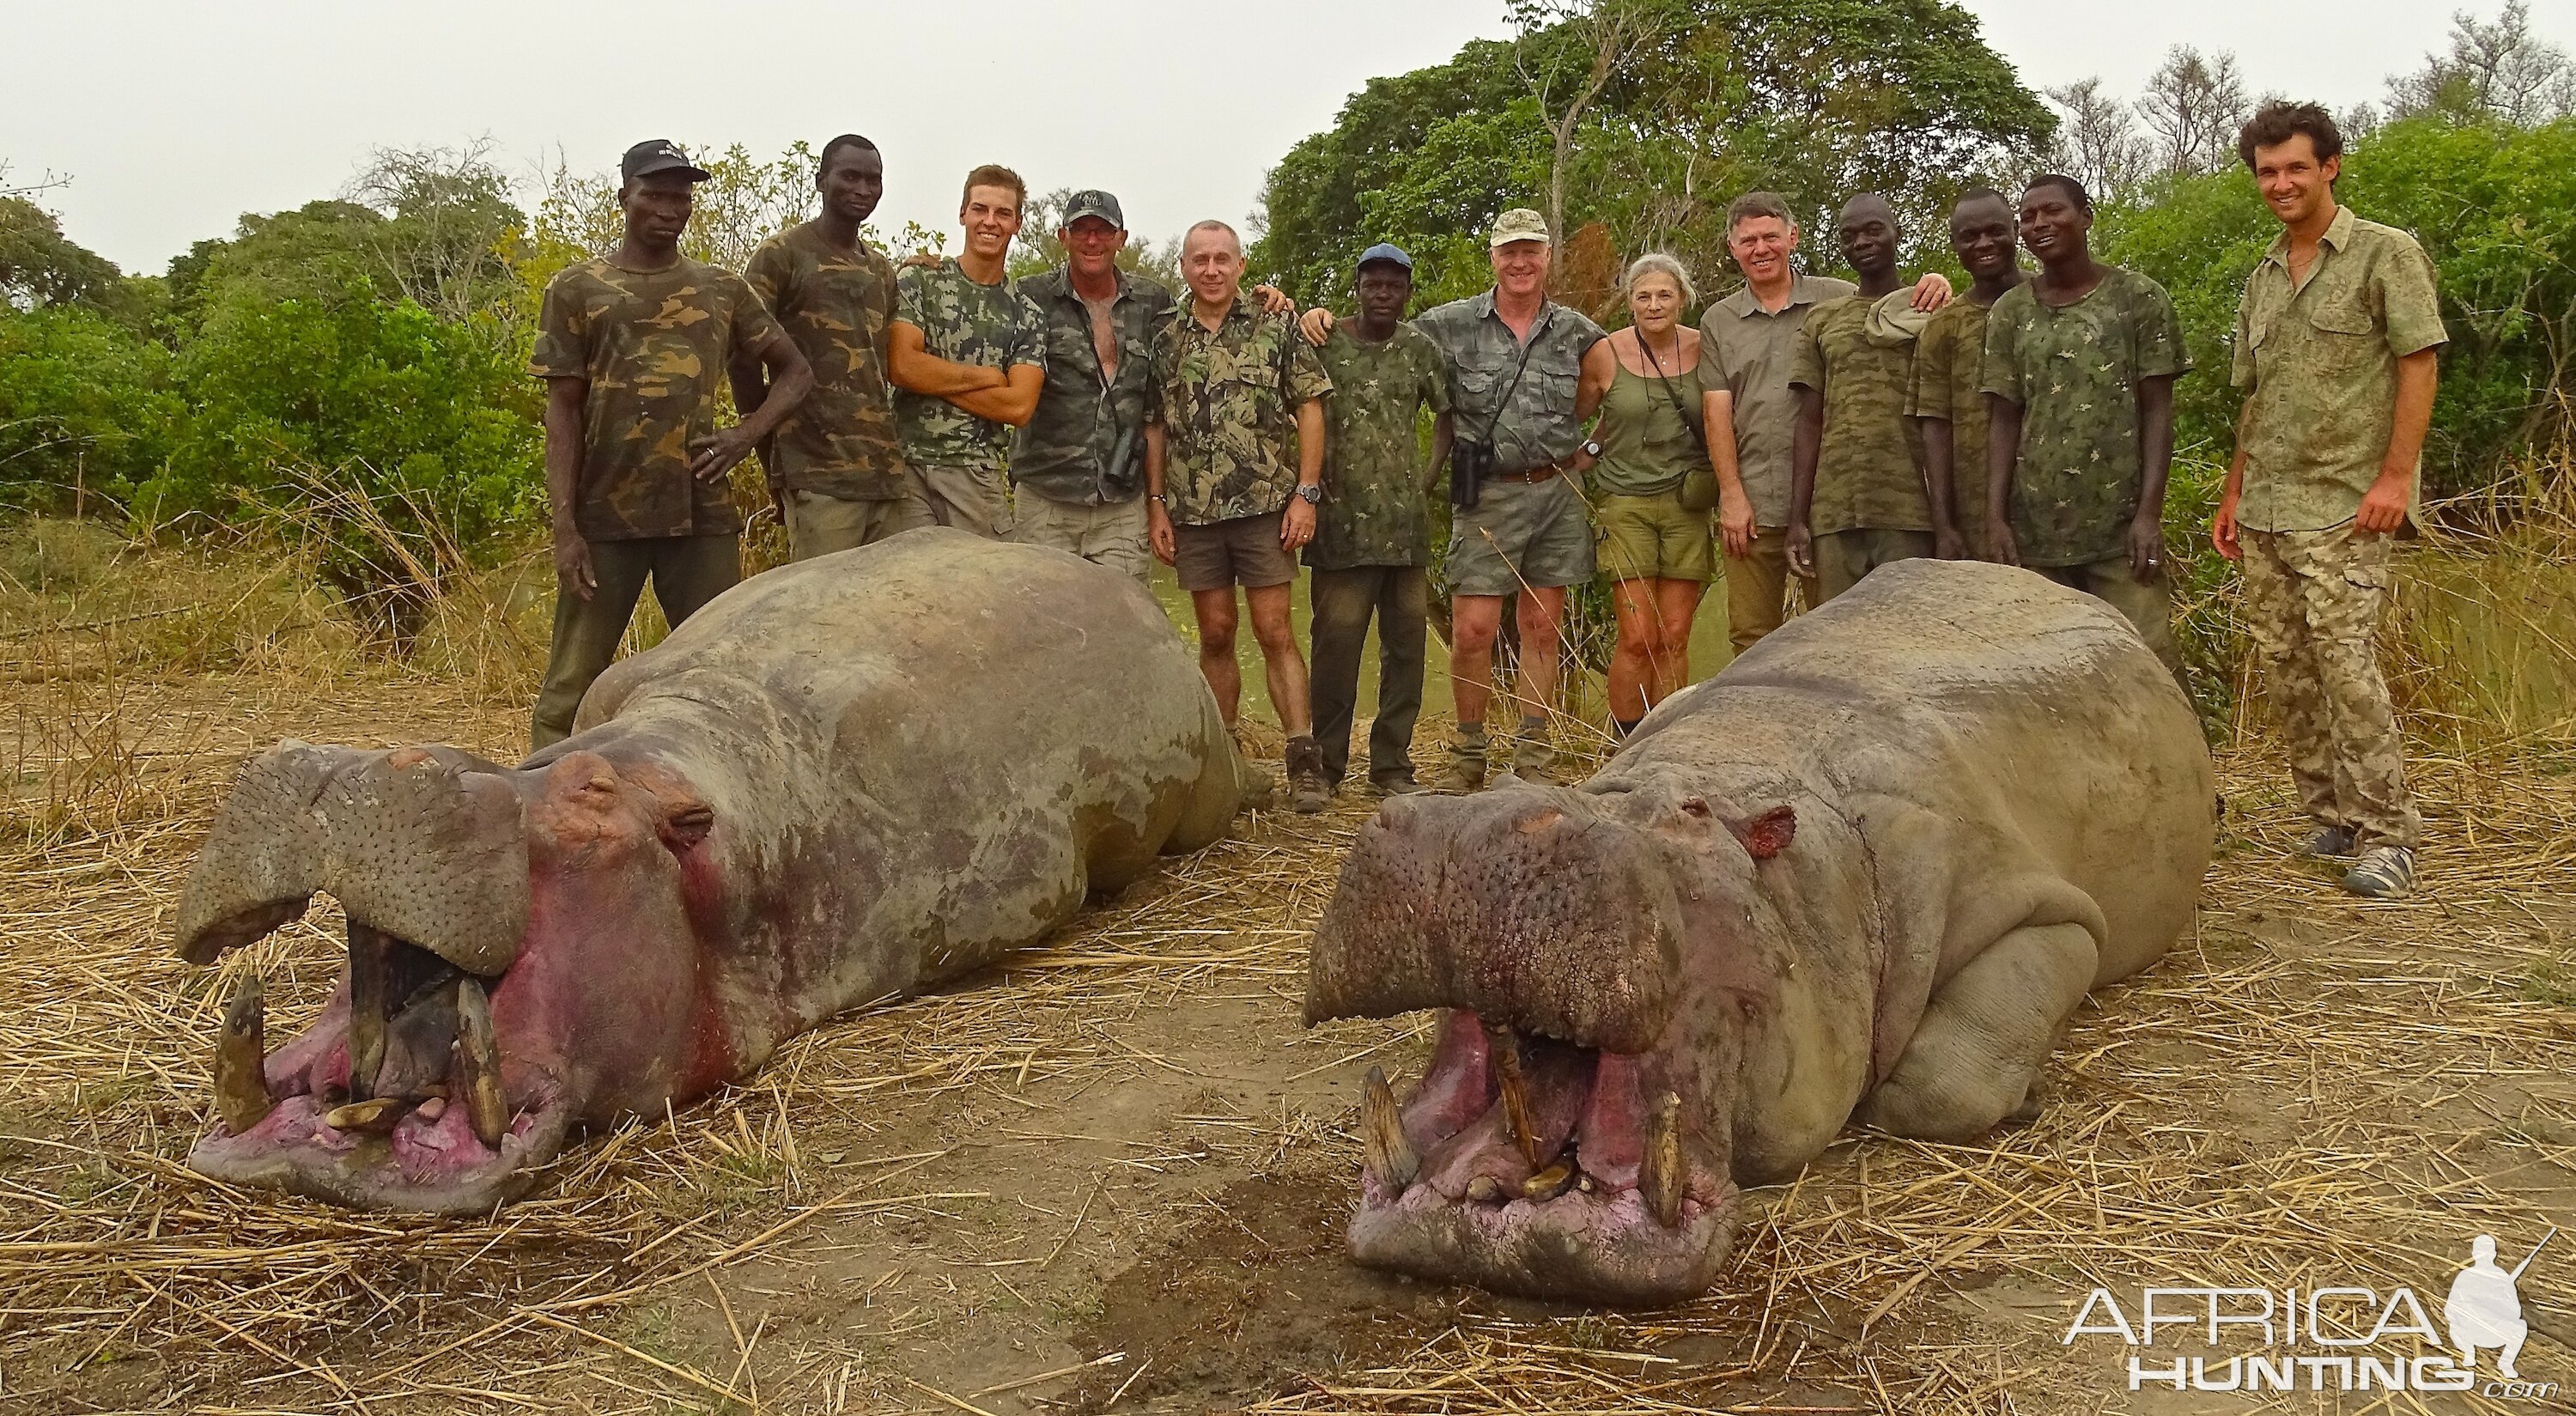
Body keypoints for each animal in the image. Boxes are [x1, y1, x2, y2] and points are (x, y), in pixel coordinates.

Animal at [1309, 563, 2215, 1308]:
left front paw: (2022, 1100)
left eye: (1688, 816)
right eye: (1507, 782)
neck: (1736, 774)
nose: (1474, 823)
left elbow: (1943, 1081)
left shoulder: (2039, 904)